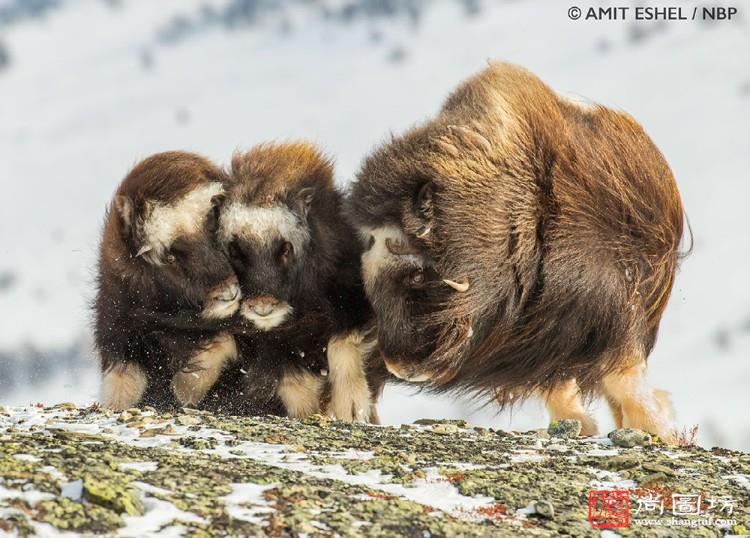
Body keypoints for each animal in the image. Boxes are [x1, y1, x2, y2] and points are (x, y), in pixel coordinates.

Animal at [204, 141, 376, 418]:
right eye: (235, 251)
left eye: (285, 248)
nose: (262, 306)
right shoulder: (275, 350)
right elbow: (294, 386)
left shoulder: (353, 304)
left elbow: (343, 343)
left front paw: (351, 409)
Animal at [352, 62, 688, 440]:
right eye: (366, 280)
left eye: (418, 275)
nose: (400, 365)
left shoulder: (607, 312)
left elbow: (624, 379)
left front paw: (662, 432)